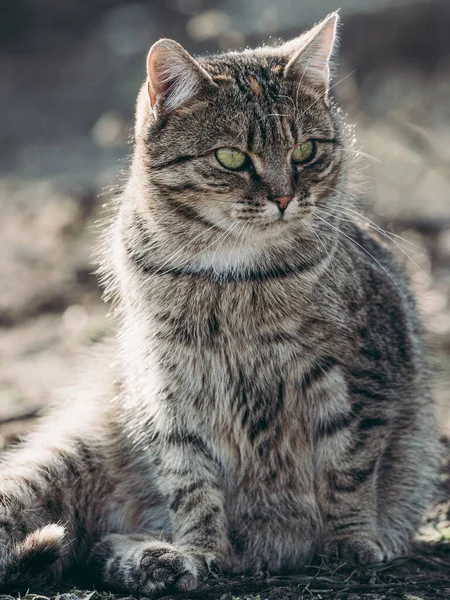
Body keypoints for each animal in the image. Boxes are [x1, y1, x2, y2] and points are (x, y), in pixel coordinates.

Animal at [0, 12, 440, 596]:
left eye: (305, 151)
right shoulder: (169, 388)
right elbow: (191, 483)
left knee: (97, 543)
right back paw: (161, 557)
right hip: (62, 459)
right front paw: (201, 549)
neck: (229, 274)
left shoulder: (357, 374)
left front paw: (352, 541)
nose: (283, 198)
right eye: (232, 158)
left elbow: (348, 470)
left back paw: (152, 557)